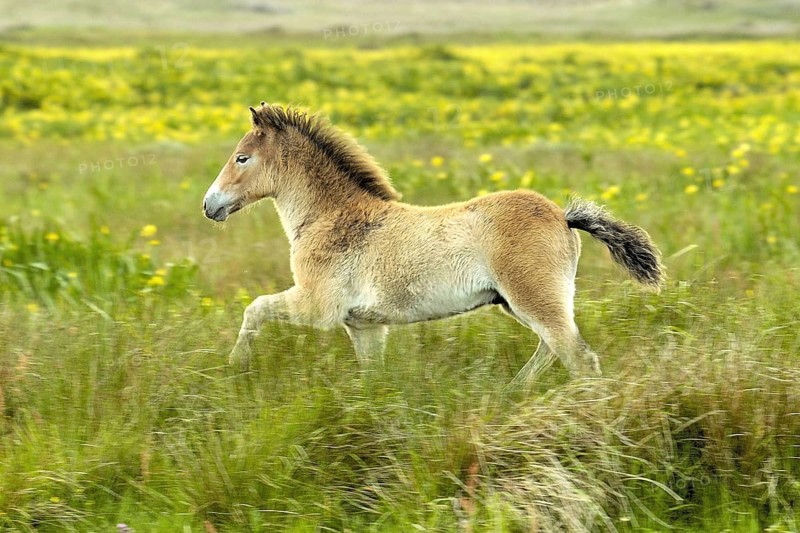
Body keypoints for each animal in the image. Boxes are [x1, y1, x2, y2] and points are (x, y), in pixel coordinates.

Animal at [203, 103, 664, 381]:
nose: (209, 205)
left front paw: (234, 365)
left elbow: (256, 309)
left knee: (578, 358)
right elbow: (372, 378)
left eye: (242, 158)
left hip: (534, 298)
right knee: (552, 349)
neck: (331, 219)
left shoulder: (317, 307)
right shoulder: (364, 326)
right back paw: (514, 392)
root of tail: (563, 217)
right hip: (520, 303)